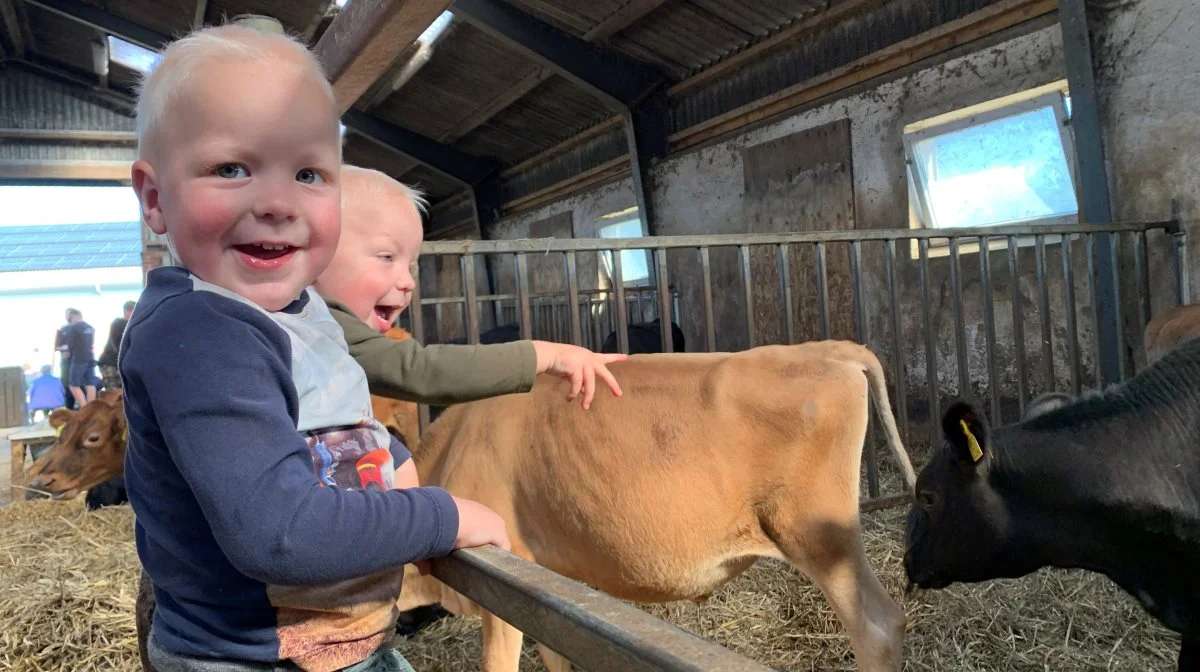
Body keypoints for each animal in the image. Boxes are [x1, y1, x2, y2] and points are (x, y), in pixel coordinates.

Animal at [398, 340, 912, 672]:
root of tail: (826, 348)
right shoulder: (543, 584)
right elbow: (554, 653)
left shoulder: (504, 579)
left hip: (818, 533)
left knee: (877, 627)